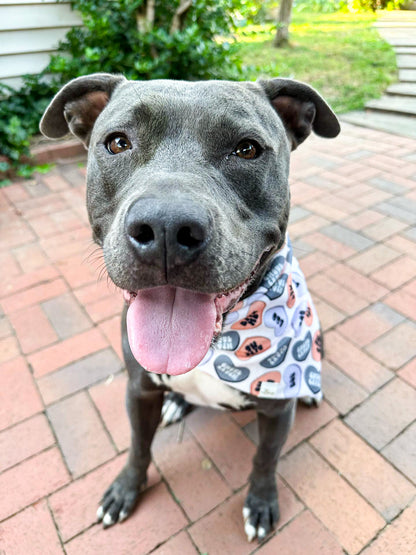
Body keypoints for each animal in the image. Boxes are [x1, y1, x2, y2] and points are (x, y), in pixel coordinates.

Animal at [39, 74, 340, 544]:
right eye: (118, 142)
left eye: (247, 149)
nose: (165, 226)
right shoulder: (138, 389)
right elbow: (138, 446)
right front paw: (126, 489)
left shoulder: (276, 411)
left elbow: (265, 459)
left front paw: (260, 503)